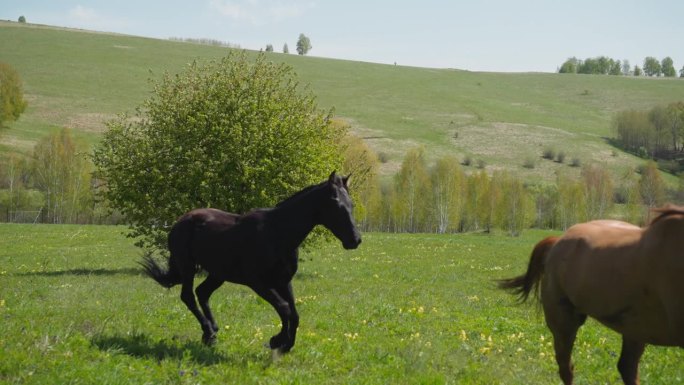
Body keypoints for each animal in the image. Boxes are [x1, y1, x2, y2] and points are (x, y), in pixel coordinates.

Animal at [141, 171, 360, 352]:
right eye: (337, 205)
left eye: (352, 205)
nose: (355, 240)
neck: (277, 233)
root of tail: (180, 221)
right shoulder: (258, 283)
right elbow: (284, 308)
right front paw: (277, 341)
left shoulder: (283, 281)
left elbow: (294, 314)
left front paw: (285, 344)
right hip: (188, 267)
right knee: (188, 295)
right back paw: (209, 332)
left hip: (218, 273)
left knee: (202, 292)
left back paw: (212, 330)